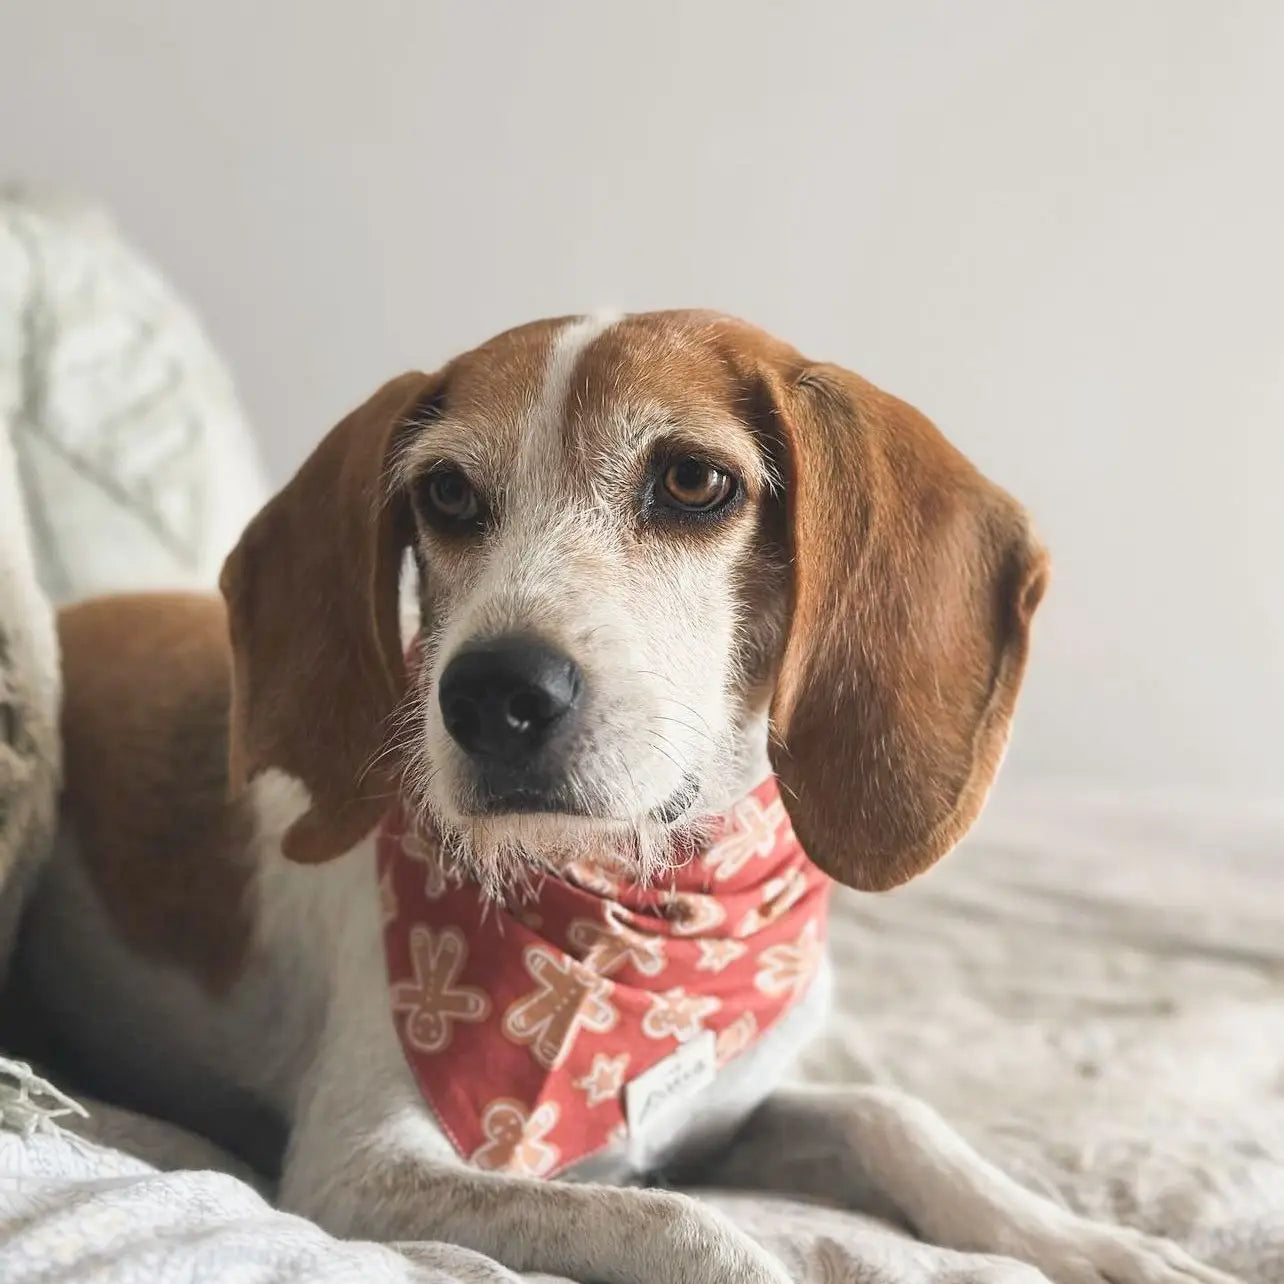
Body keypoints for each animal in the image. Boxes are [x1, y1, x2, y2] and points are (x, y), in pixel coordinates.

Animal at [15, 310, 1227, 1284]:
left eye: (694, 481)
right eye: (446, 493)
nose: (490, 693)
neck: (651, 902)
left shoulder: (723, 1115)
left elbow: (891, 1113)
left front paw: (1088, 1243)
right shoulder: (357, 1170)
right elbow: (689, 1229)